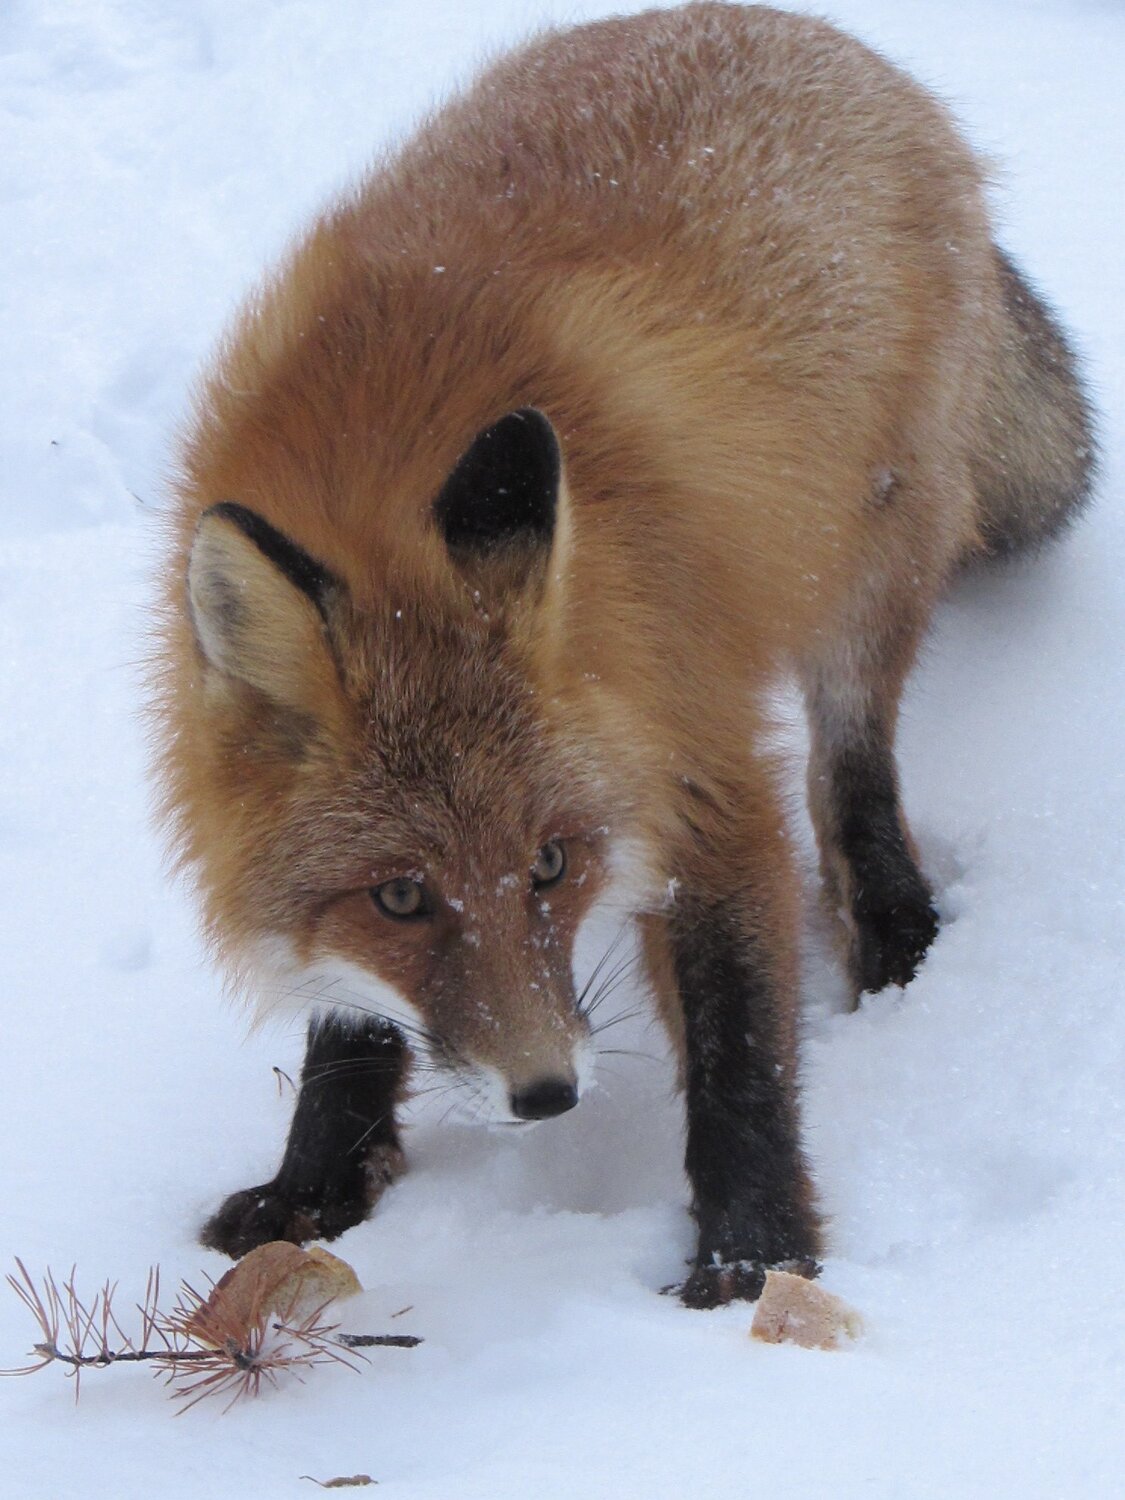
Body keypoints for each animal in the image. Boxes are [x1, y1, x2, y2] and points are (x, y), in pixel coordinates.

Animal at [151, 2, 1094, 1307]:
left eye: (550, 865)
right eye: (399, 896)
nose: (547, 1094)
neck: (380, 488)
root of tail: (835, 42)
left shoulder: (694, 763)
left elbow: (740, 1043)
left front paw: (753, 1258)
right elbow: (350, 1019)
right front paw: (315, 1187)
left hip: (867, 572)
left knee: (849, 777)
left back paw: (899, 935)